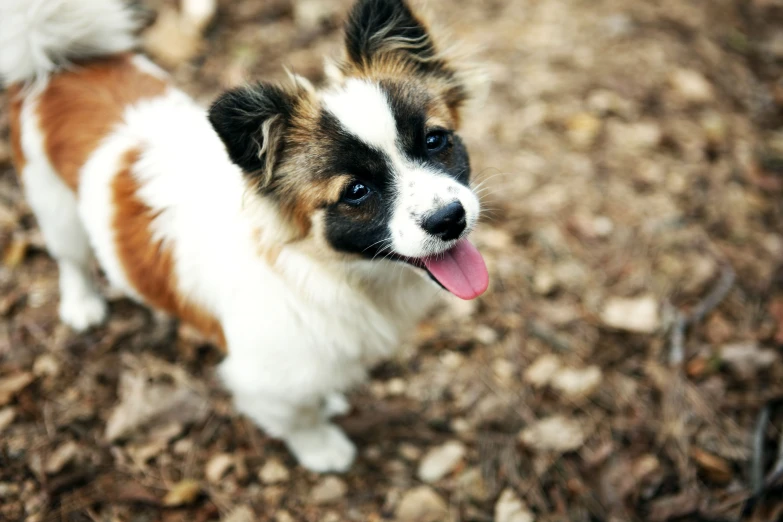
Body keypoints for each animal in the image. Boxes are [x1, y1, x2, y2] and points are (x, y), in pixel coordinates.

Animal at [1, 0, 490, 472]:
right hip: (56, 211)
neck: (319, 270)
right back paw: (82, 305)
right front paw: (323, 449)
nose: (449, 219)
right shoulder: (265, 377)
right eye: (356, 191)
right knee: (72, 261)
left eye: (435, 140)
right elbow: (299, 417)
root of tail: (60, 63)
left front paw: (329, 402)